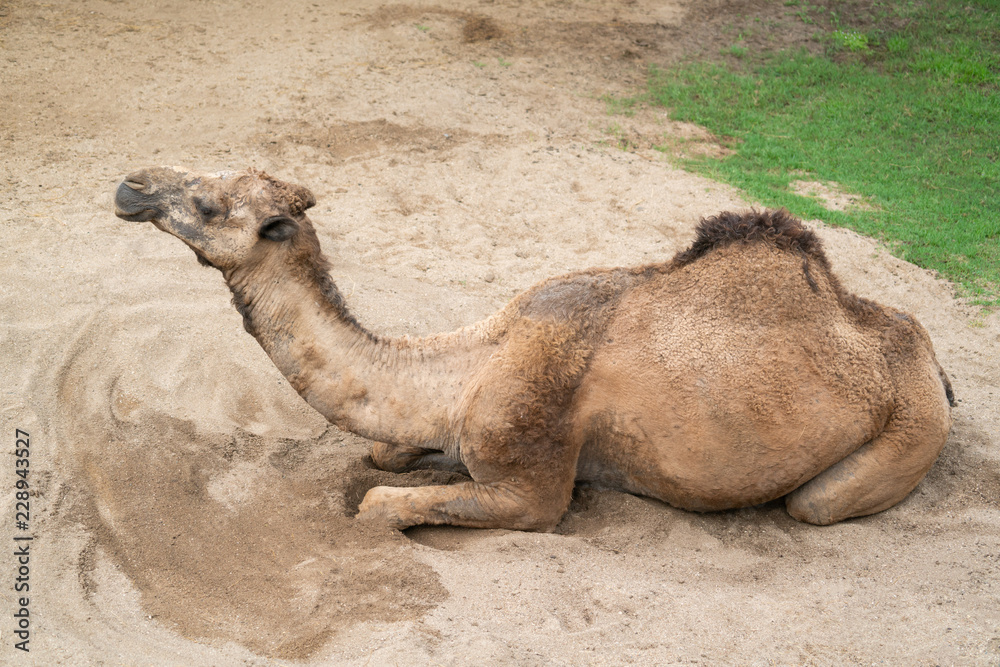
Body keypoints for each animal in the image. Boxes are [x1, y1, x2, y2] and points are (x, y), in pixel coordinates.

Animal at [115, 167, 952, 532]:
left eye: (207, 203)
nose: (131, 185)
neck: (468, 364)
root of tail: (933, 367)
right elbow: (387, 455)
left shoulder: (531, 482)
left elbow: (380, 503)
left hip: (907, 433)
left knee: (813, 501)